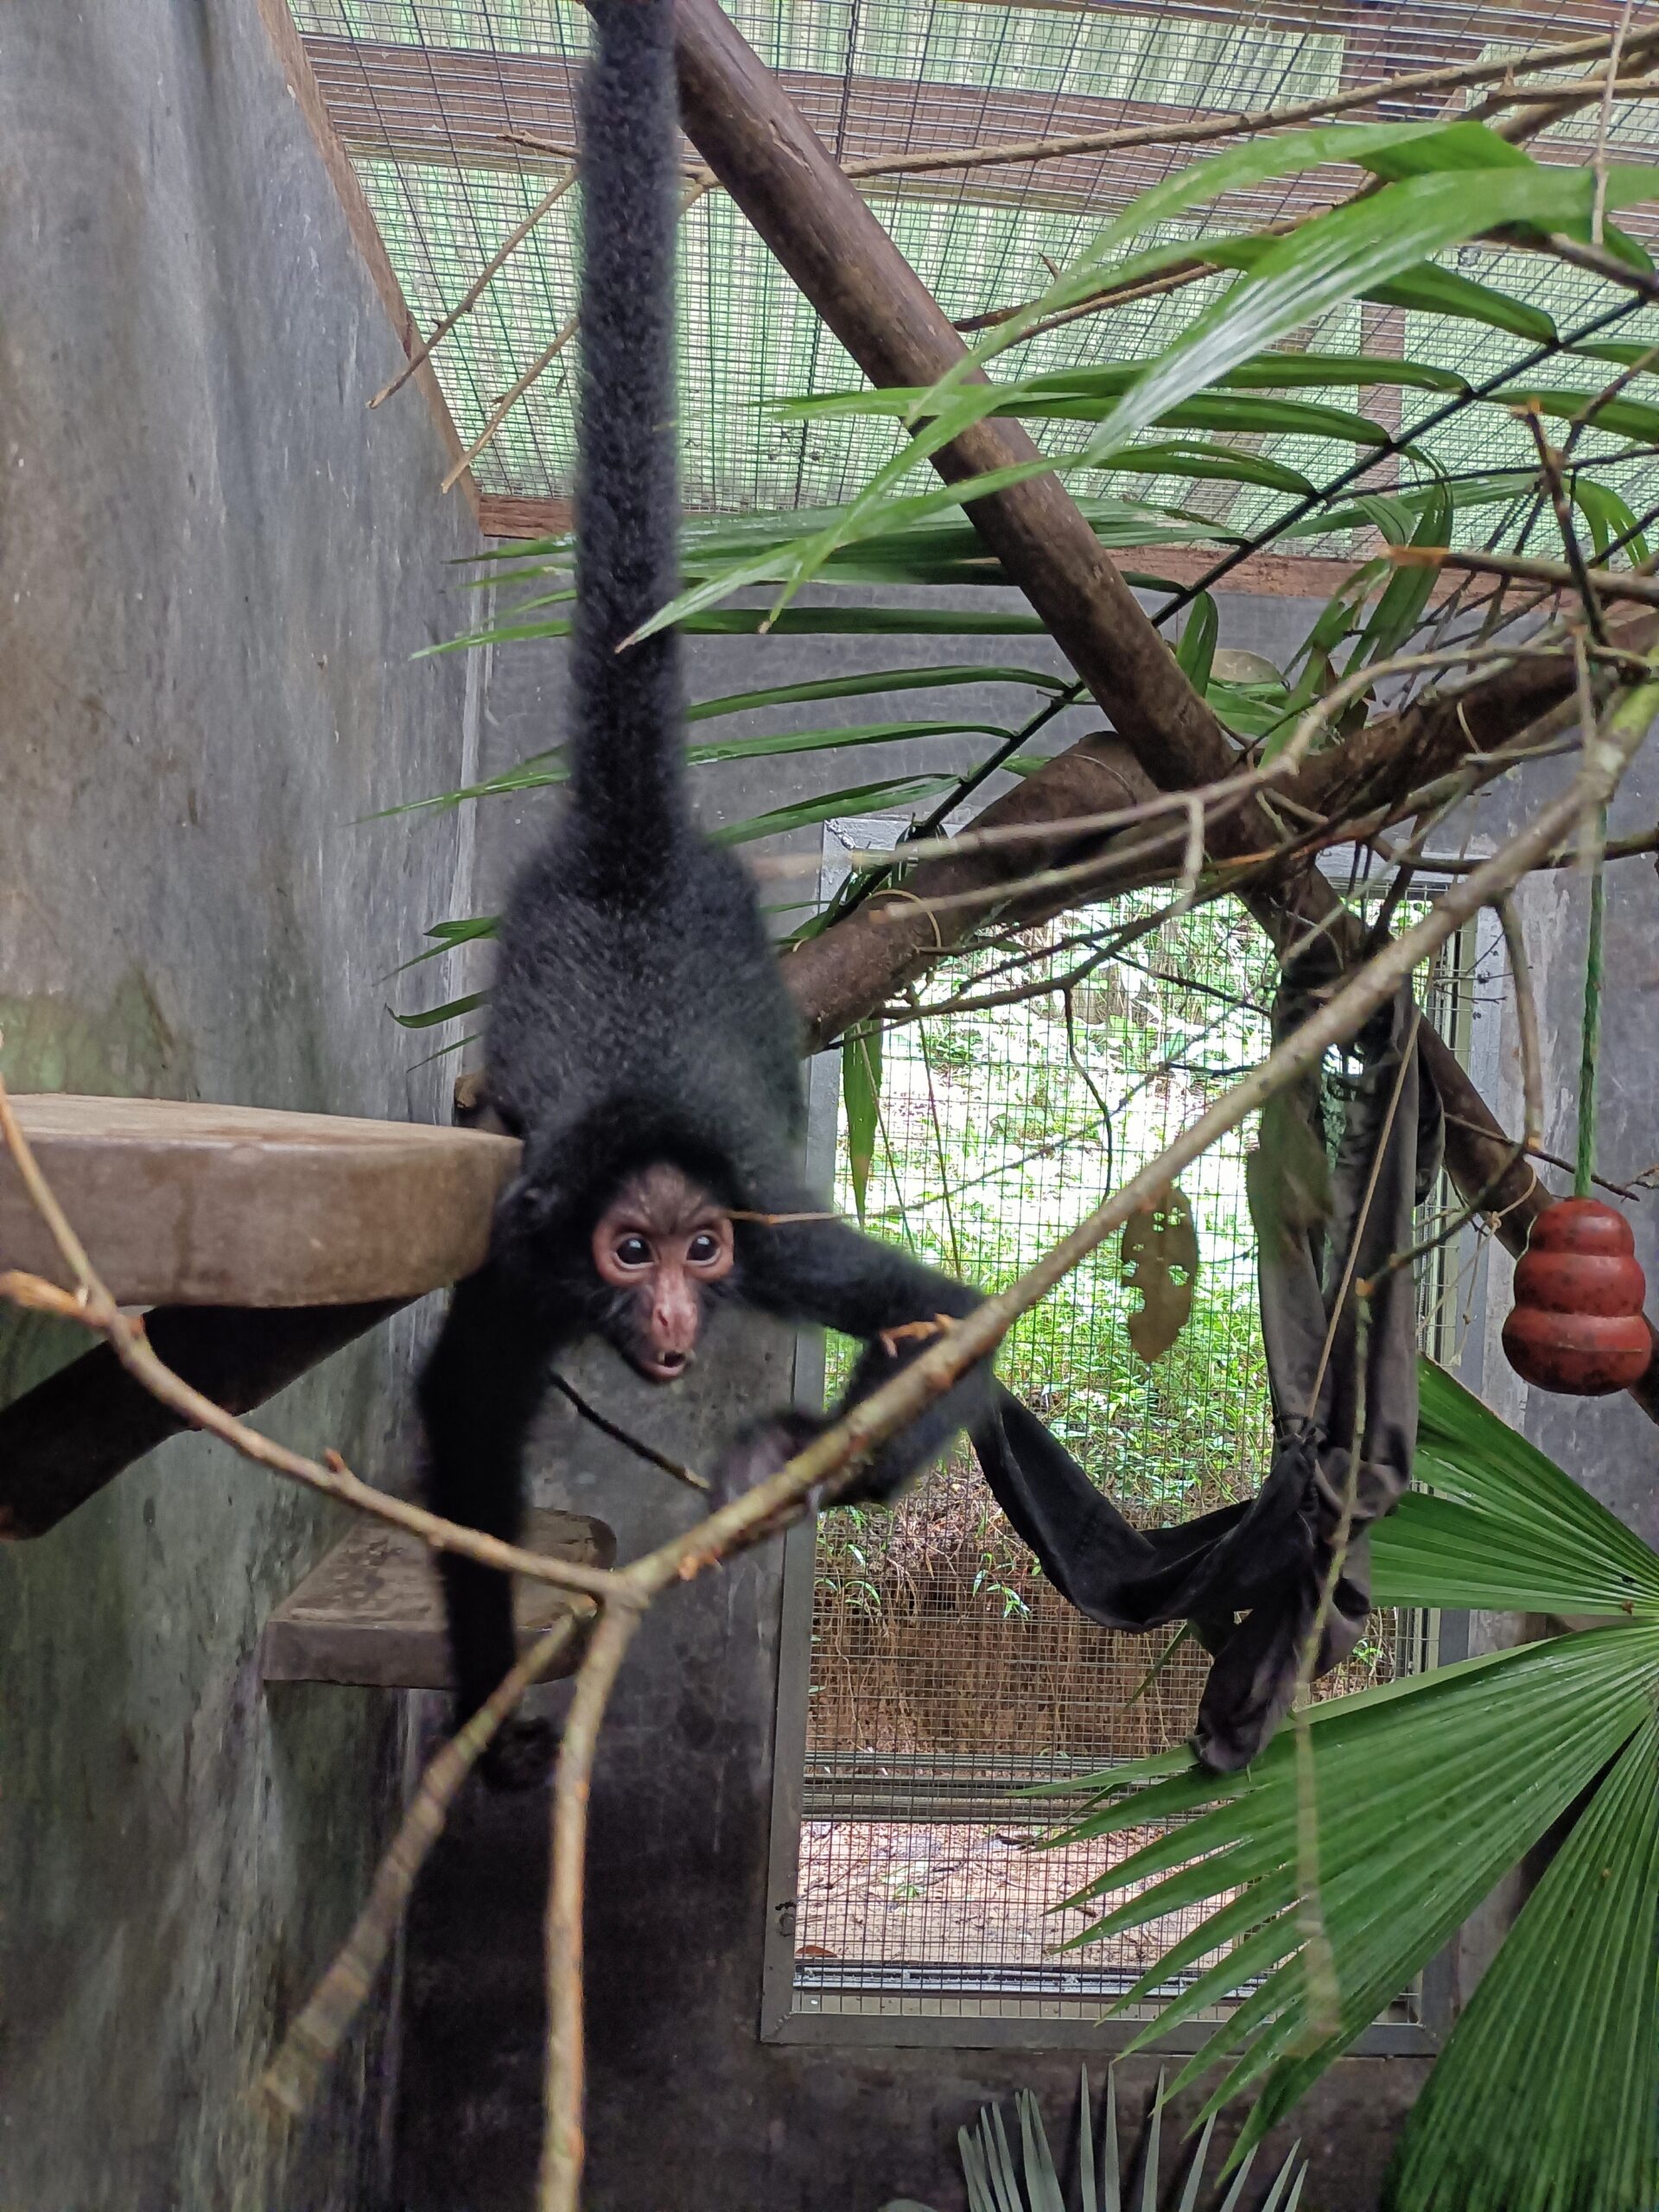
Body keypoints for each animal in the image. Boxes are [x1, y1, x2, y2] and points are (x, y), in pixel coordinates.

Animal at [417, 0, 994, 1788]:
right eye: (627, 1253)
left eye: (695, 1253)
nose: (674, 1310)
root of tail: (633, 853)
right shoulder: (529, 1251)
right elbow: (459, 1437)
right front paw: (491, 1704)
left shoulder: (778, 1242)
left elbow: (946, 1324)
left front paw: (818, 1455)